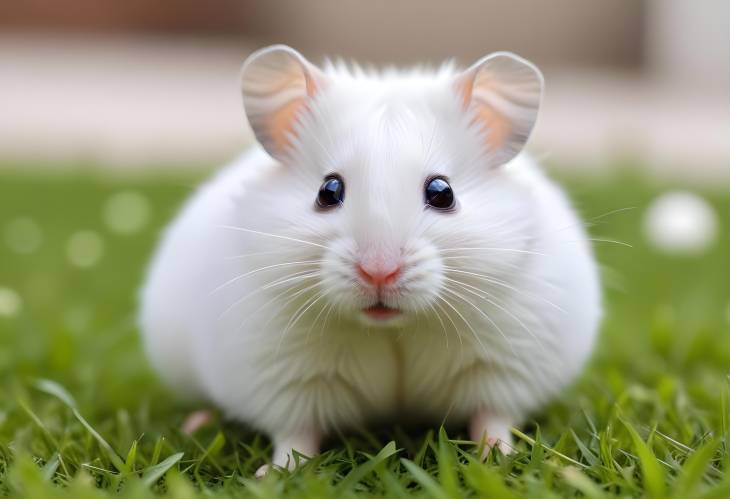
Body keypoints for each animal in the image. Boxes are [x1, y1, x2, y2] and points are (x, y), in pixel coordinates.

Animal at [139, 45, 600, 474]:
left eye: (442, 192)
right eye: (328, 190)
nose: (379, 272)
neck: (391, 329)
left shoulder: (503, 366)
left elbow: (493, 418)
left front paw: (501, 460)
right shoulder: (283, 377)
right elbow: (294, 434)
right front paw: (272, 474)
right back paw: (196, 423)